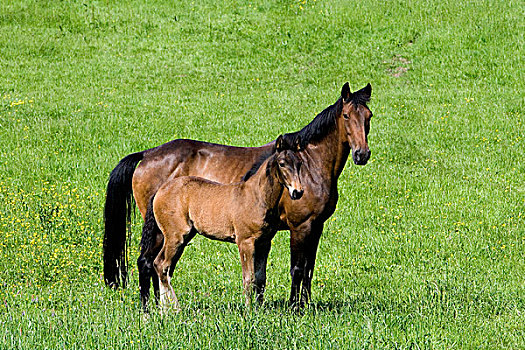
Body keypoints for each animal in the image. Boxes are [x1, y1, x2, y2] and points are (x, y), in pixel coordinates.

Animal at [145, 135, 302, 310]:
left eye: (300, 163)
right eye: (282, 164)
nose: (298, 192)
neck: (257, 197)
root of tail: (159, 191)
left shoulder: (264, 243)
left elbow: (261, 278)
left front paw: (259, 308)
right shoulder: (245, 242)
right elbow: (249, 278)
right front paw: (249, 311)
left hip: (183, 237)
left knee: (162, 266)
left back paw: (164, 310)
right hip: (175, 236)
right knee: (162, 265)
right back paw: (175, 309)